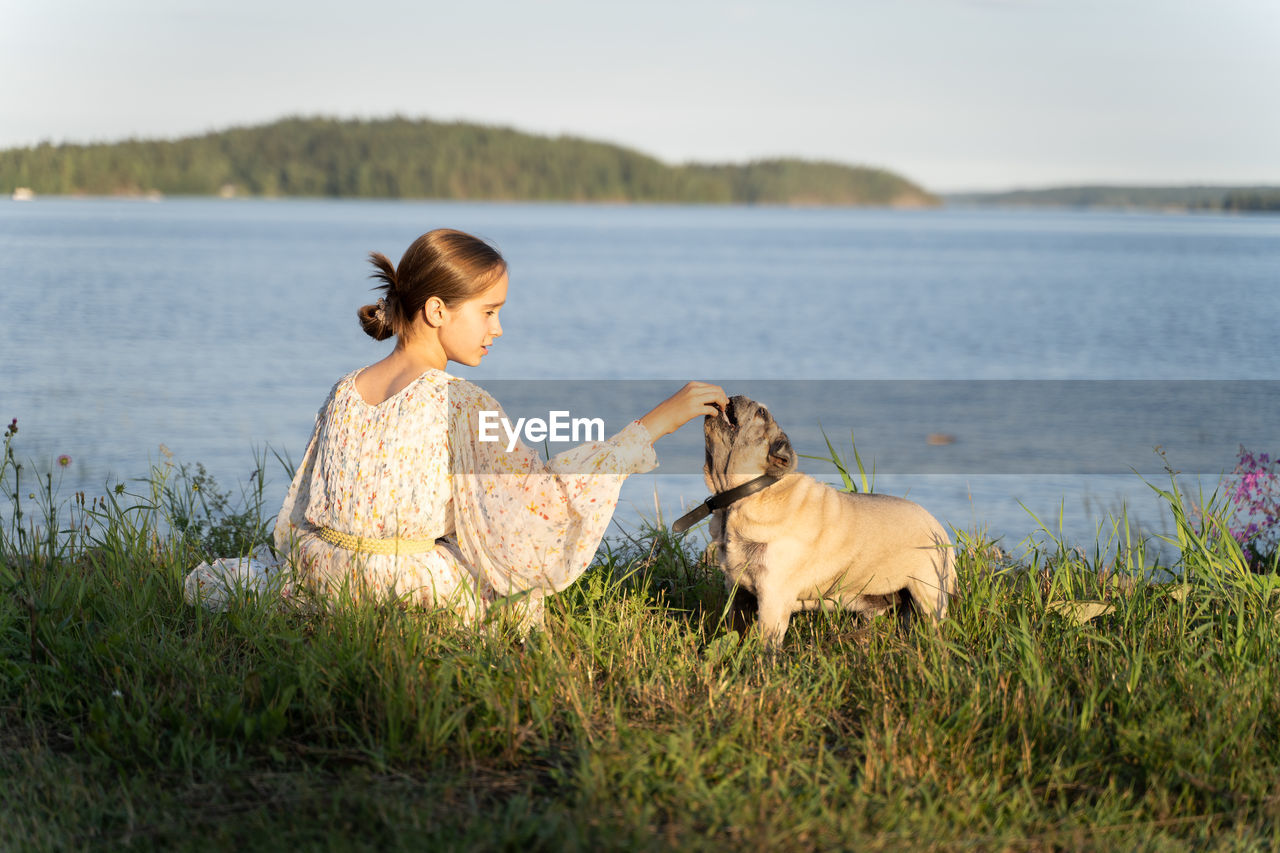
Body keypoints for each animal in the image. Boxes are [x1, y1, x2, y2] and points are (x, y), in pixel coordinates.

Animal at [701, 394, 952, 645]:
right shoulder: (738, 593)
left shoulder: (773, 597)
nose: (736, 396)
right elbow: (736, 631)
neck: (745, 496)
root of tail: (937, 527)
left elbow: (767, 644)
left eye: (761, 413)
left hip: (928, 595)